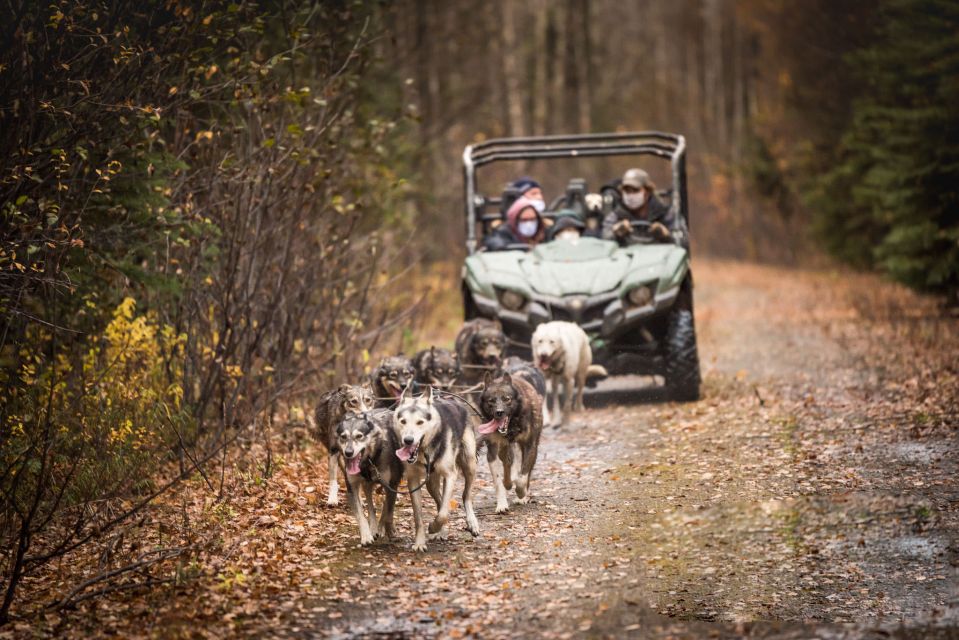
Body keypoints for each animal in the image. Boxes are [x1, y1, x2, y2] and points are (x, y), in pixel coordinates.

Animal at [336, 410, 404, 544]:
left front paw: (389, 530)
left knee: (385, 505)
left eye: (359, 436)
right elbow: (361, 515)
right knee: (371, 505)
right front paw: (366, 535)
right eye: (343, 437)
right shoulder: (352, 487)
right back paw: (373, 527)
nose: (348, 453)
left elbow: (388, 512)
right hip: (367, 484)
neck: (369, 461)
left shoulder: (391, 485)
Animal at [392, 384, 478, 552]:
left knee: (466, 496)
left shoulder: (450, 475)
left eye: (420, 422)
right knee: (439, 500)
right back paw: (441, 531)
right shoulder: (413, 480)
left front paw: (433, 527)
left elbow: (444, 512)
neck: (425, 452)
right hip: (431, 482)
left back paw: (472, 523)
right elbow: (418, 516)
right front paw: (420, 542)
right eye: (403, 421)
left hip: (469, 463)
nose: (408, 440)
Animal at [478, 370, 544, 510]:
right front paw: (502, 504)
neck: (513, 423)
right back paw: (508, 482)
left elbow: (523, 476)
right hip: (504, 449)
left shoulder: (530, 445)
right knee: (507, 462)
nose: (499, 412)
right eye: (491, 400)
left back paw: (522, 495)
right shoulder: (492, 450)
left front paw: (521, 493)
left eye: (507, 399)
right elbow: (498, 481)